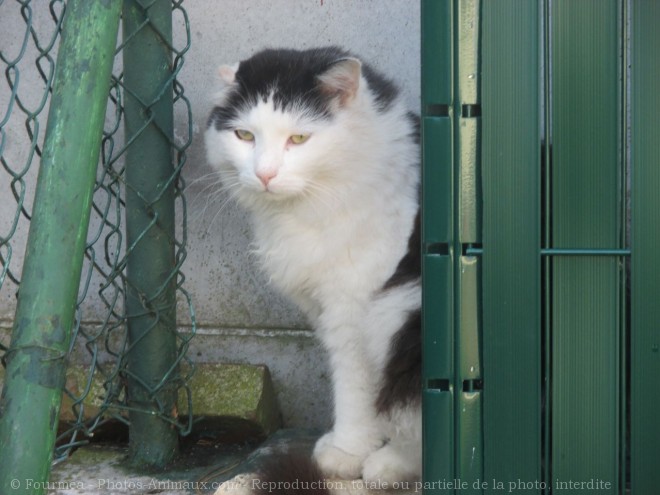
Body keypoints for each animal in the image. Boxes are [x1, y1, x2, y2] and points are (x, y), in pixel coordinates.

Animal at [205, 45, 422, 484]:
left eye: (299, 138)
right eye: (244, 136)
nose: (265, 174)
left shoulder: (353, 311)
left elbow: (356, 389)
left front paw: (349, 451)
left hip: (398, 310)